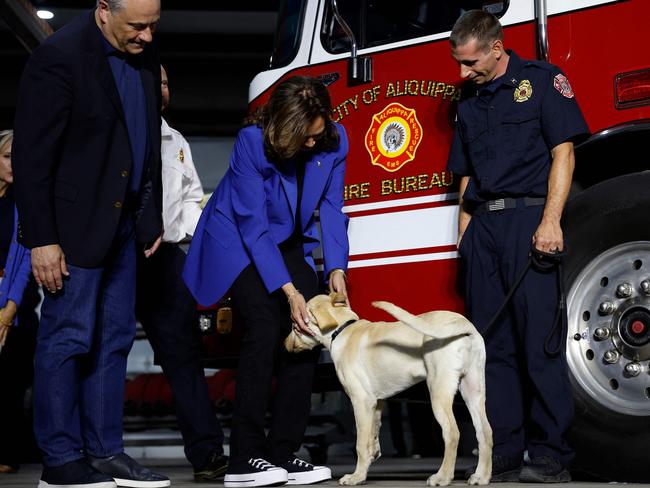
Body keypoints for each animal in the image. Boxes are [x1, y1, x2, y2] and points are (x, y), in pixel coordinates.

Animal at [284, 294, 492, 484]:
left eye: (295, 326)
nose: (284, 346)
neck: (342, 330)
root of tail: (463, 324)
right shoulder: (376, 402)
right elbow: (372, 436)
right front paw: (369, 461)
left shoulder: (361, 401)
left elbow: (360, 444)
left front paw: (356, 477)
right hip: (473, 390)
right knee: (485, 432)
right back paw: (481, 477)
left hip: (438, 391)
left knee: (452, 433)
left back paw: (442, 477)